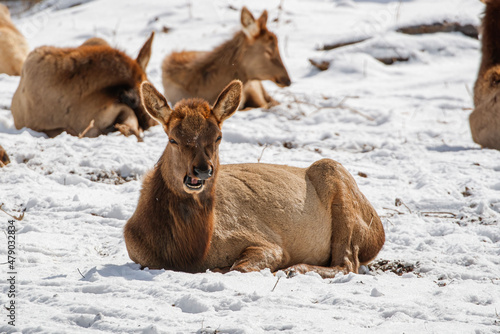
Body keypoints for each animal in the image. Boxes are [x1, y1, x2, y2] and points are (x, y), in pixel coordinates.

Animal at [123, 79, 384, 278]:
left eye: (218, 137)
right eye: (173, 139)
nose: (202, 170)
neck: (188, 253)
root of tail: (379, 233)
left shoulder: (268, 244)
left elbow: (236, 268)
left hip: (336, 179)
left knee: (347, 263)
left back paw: (294, 269)